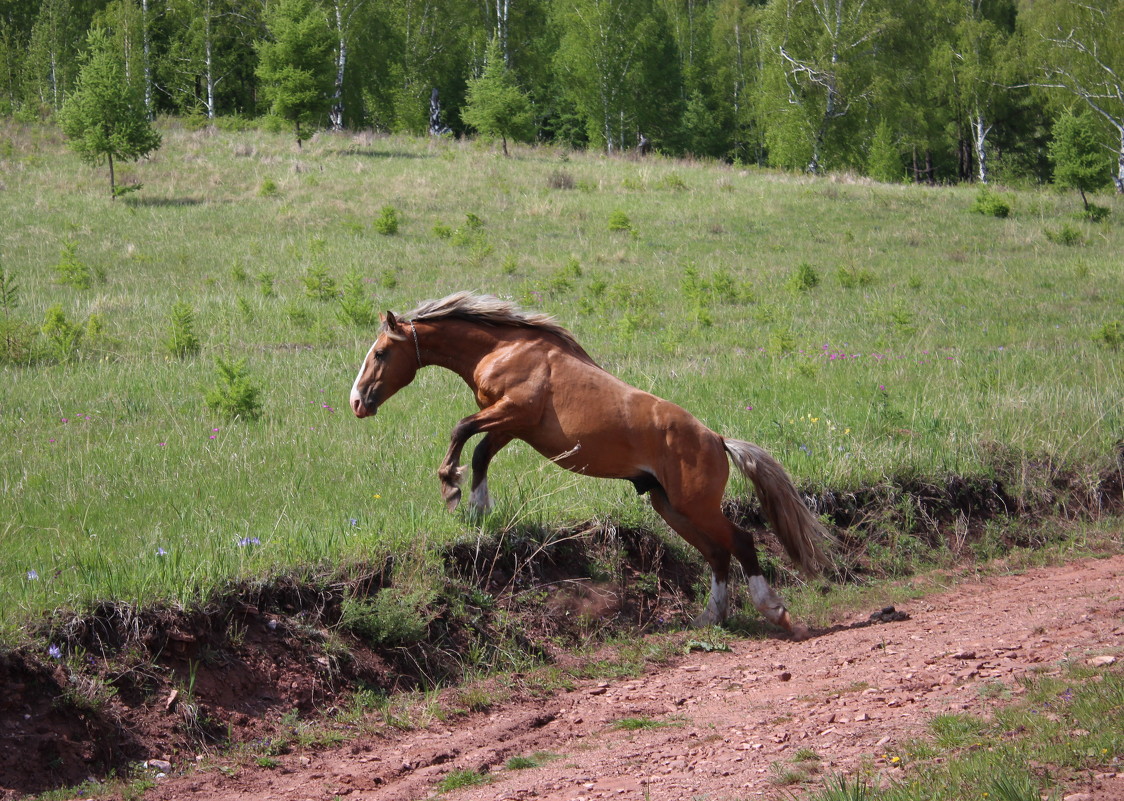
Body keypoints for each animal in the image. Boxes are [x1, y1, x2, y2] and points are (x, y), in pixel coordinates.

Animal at [348, 289, 827, 633]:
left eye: (380, 353)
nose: (356, 402)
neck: (504, 348)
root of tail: (718, 439)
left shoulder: (513, 411)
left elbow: (462, 430)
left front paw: (451, 486)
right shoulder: (512, 423)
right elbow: (481, 450)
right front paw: (477, 508)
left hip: (697, 507)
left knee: (741, 543)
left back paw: (775, 611)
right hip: (670, 506)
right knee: (717, 555)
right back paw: (710, 618)